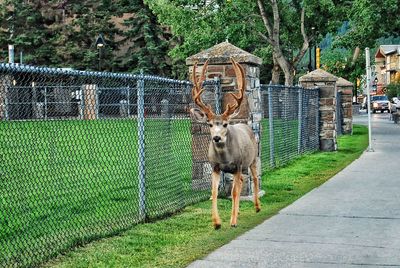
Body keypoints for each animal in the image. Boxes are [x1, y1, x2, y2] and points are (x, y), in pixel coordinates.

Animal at [191, 58, 260, 228]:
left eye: (225, 124)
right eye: (209, 124)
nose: (216, 138)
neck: (225, 158)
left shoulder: (238, 165)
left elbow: (234, 192)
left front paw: (232, 221)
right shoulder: (215, 167)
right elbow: (214, 192)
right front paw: (216, 222)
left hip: (252, 159)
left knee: (254, 178)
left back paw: (257, 207)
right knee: (241, 181)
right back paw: (239, 211)